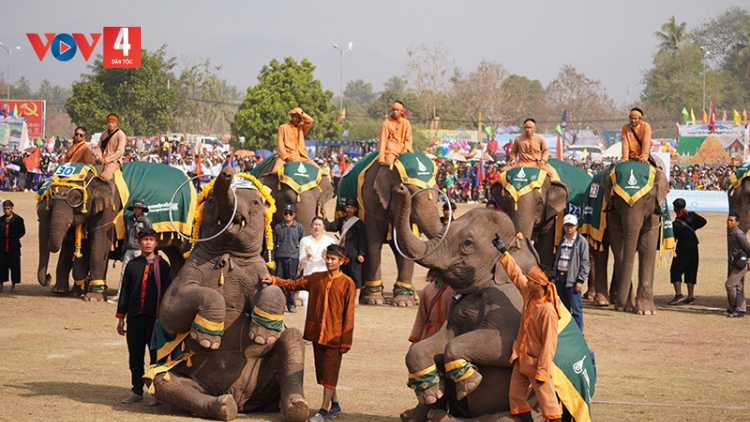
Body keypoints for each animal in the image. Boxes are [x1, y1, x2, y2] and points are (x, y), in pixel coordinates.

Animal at [36, 163, 192, 302]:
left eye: (75, 198)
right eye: (51, 198)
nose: (48, 277)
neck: (93, 171)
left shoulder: (110, 208)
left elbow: (99, 246)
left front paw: (93, 298)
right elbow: (81, 248)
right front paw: (72, 292)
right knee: (175, 255)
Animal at [150, 166, 308, 420]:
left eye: (255, 202)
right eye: (211, 200)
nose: (227, 171)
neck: (228, 255)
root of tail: (241, 399)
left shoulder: (258, 270)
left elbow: (274, 289)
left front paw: (262, 337)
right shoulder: (189, 270)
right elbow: (169, 314)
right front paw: (207, 340)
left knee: (292, 338)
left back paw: (297, 407)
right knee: (161, 381)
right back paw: (224, 406)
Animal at [388, 185, 548, 422]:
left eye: (467, 244)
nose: (401, 188)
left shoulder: (511, 302)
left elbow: (502, 346)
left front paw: (470, 384)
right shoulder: (456, 310)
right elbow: (434, 342)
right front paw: (431, 393)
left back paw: (445, 418)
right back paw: (417, 414)